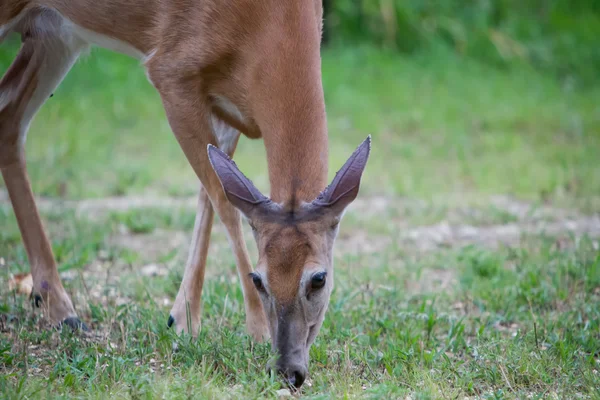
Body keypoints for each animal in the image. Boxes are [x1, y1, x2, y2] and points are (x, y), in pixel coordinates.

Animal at [0, 0, 370, 388]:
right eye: (258, 279)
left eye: (319, 279)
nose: (287, 370)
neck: (270, 24)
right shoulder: (171, 71)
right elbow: (223, 203)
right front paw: (254, 330)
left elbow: (209, 195)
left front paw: (182, 318)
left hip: (54, 36)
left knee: (9, 117)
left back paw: (59, 307)